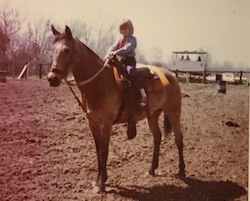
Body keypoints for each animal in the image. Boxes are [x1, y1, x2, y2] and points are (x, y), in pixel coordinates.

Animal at [47, 25, 186, 193]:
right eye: (52, 50)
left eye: (67, 50)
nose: (52, 78)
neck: (99, 83)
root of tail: (172, 75)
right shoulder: (93, 124)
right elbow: (98, 151)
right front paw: (98, 180)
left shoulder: (106, 125)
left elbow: (104, 151)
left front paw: (101, 184)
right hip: (153, 115)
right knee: (157, 137)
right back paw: (151, 169)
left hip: (174, 112)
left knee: (179, 139)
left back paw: (182, 171)